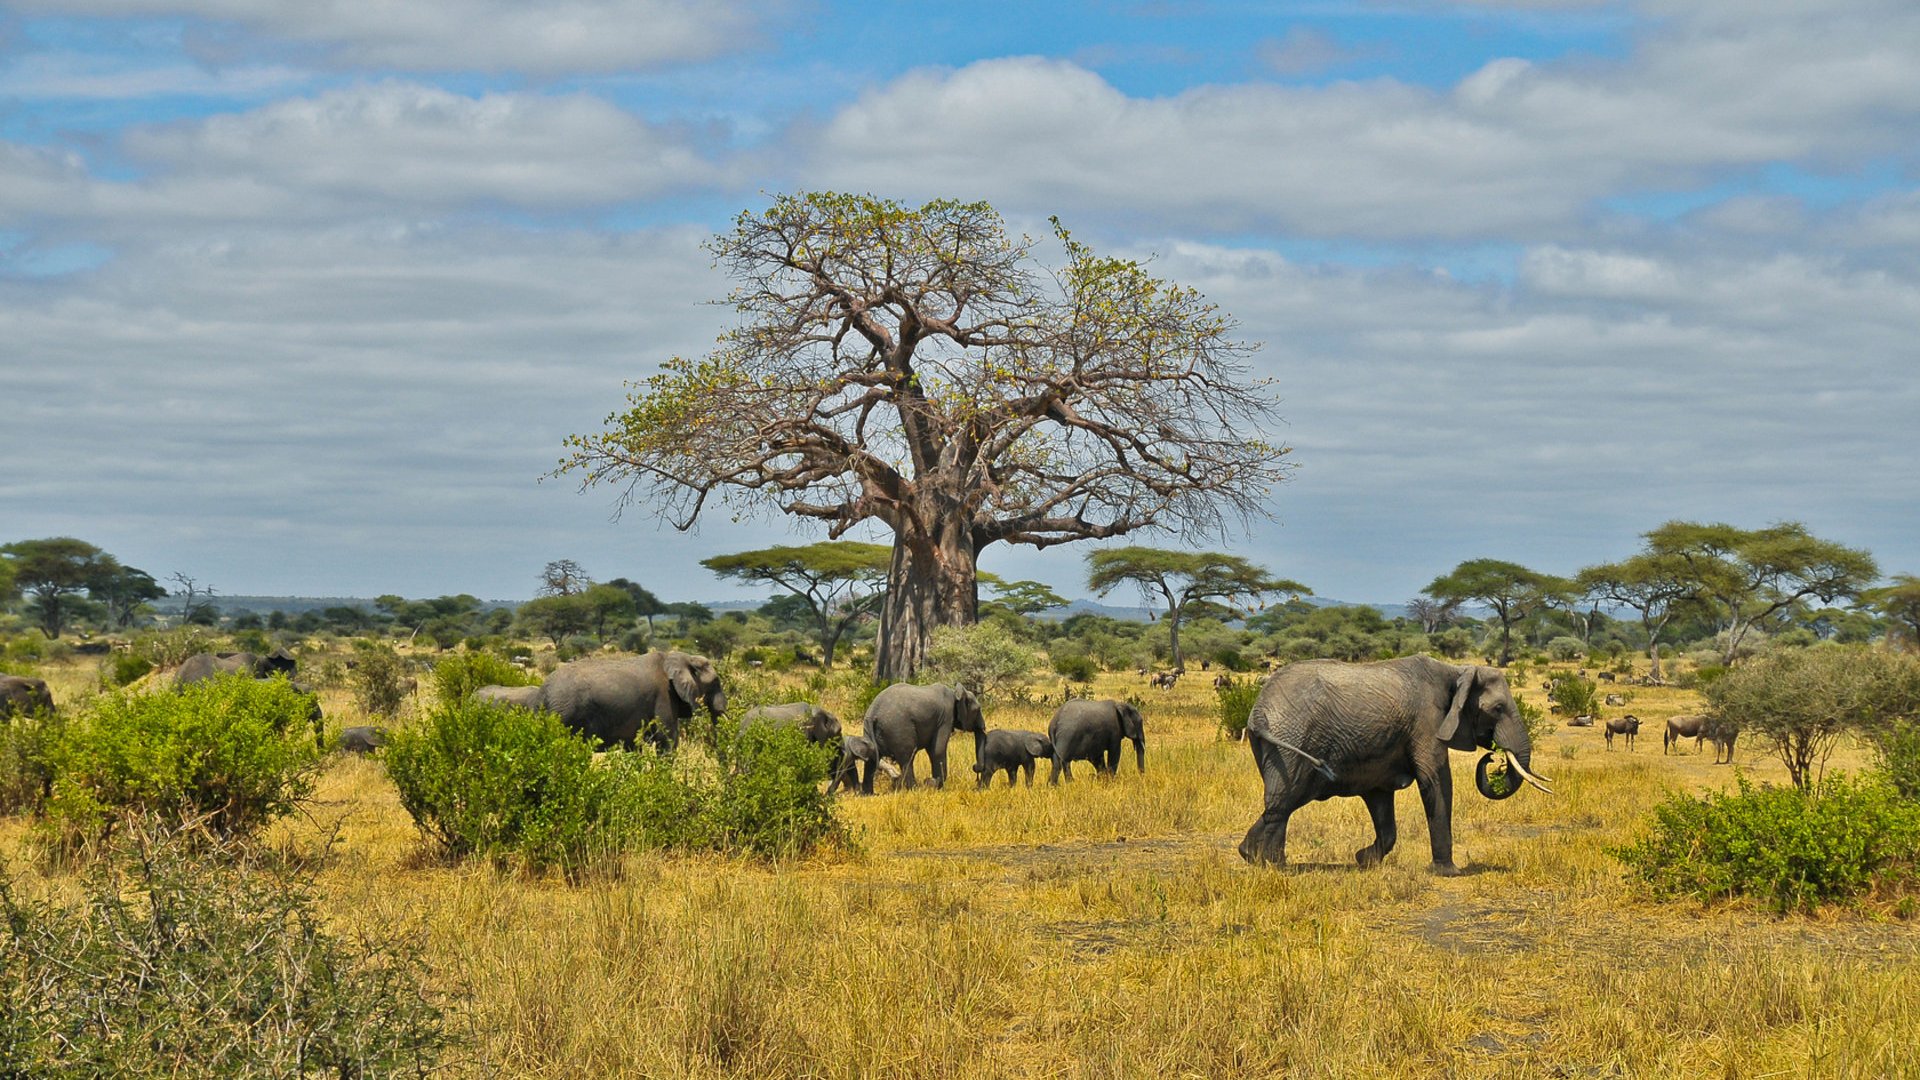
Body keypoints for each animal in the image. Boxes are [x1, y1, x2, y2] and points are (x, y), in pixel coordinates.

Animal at [541, 645, 725, 749]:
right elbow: (667, 740)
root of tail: (544, 690)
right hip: (567, 715)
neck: (683, 657)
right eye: (716, 682)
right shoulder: (664, 696)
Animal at [1236, 657, 1551, 876]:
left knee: (1283, 801)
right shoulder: (1427, 721)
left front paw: (1364, 860)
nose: (1493, 757)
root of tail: (1258, 711)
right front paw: (1448, 872)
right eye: (1498, 709)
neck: (1456, 672)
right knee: (1284, 800)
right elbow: (1436, 780)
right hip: (1293, 739)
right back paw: (1271, 864)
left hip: (1276, 745)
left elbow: (1380, 800)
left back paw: (1256, 857)